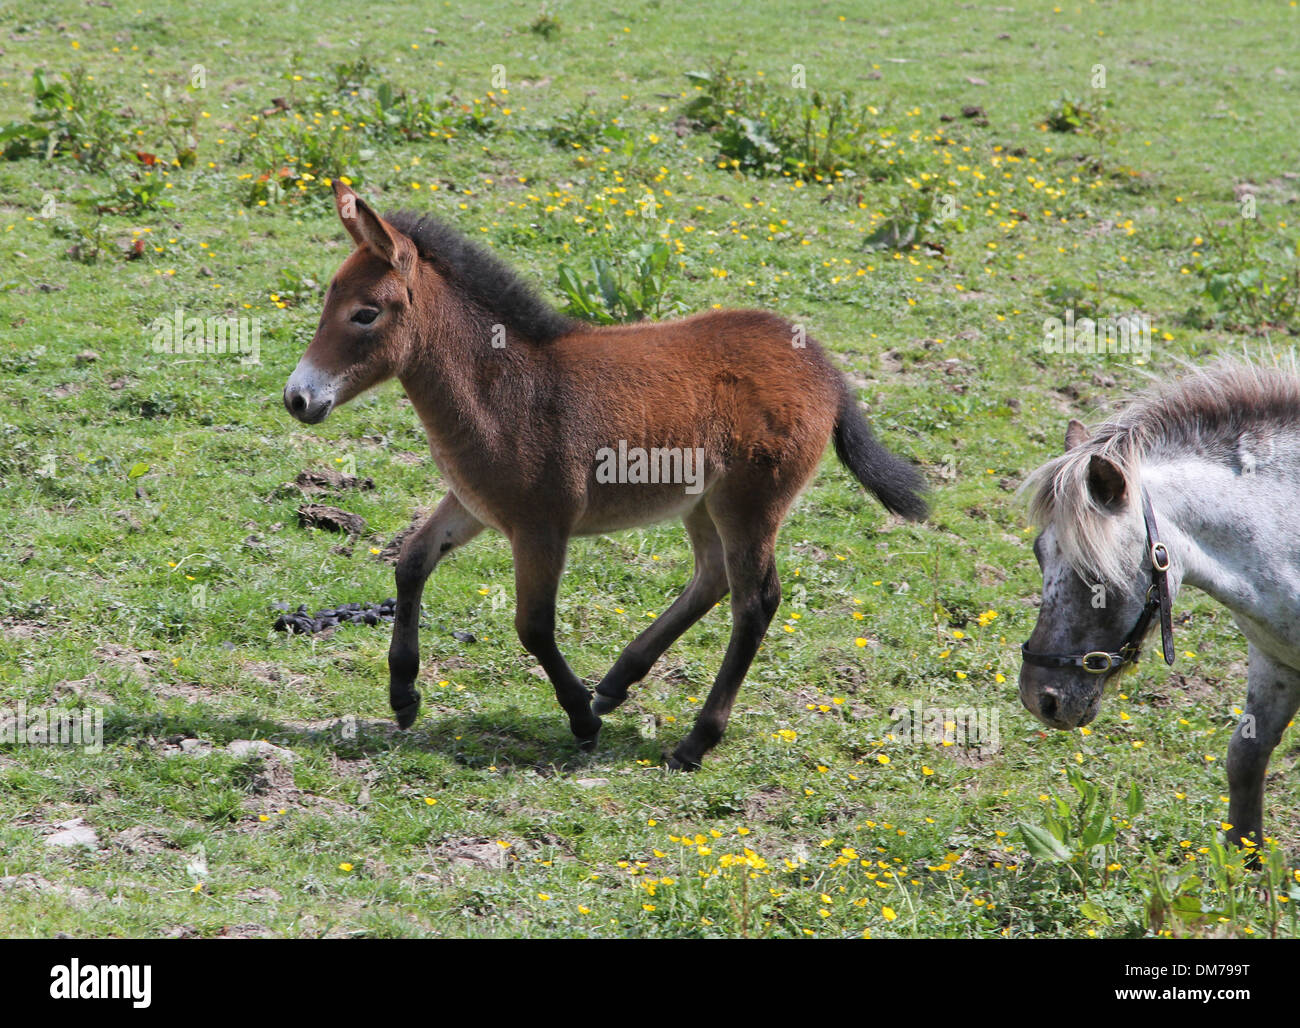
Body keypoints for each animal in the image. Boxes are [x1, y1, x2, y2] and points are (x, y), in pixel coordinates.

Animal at [288, 184, 930, 769]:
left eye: (365, 313)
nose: (299, 398)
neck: (502, 387)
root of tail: (825, 368)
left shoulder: (541, 525)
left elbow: (533, 626)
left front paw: (579, 720)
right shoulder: (473, 504)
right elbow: (411, 563)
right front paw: (403, 695)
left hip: (751, 504)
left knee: (755, 602)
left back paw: (693, 742)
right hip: (703, 504)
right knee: (713, 578)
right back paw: (619, 682)